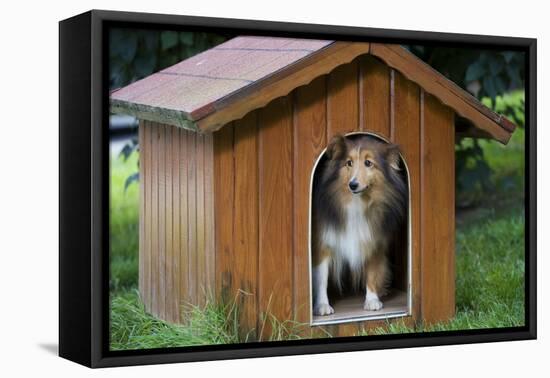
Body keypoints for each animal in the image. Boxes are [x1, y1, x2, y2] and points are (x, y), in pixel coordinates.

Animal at [312, 134, 408, 316]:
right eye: (349, 163)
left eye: (368, 163)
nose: (353, 184)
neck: (357, 202)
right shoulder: (323, 243)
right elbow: (321, 277)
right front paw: (322, 305)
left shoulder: (374, 241)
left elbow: (373, 270)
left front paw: (372, 300)